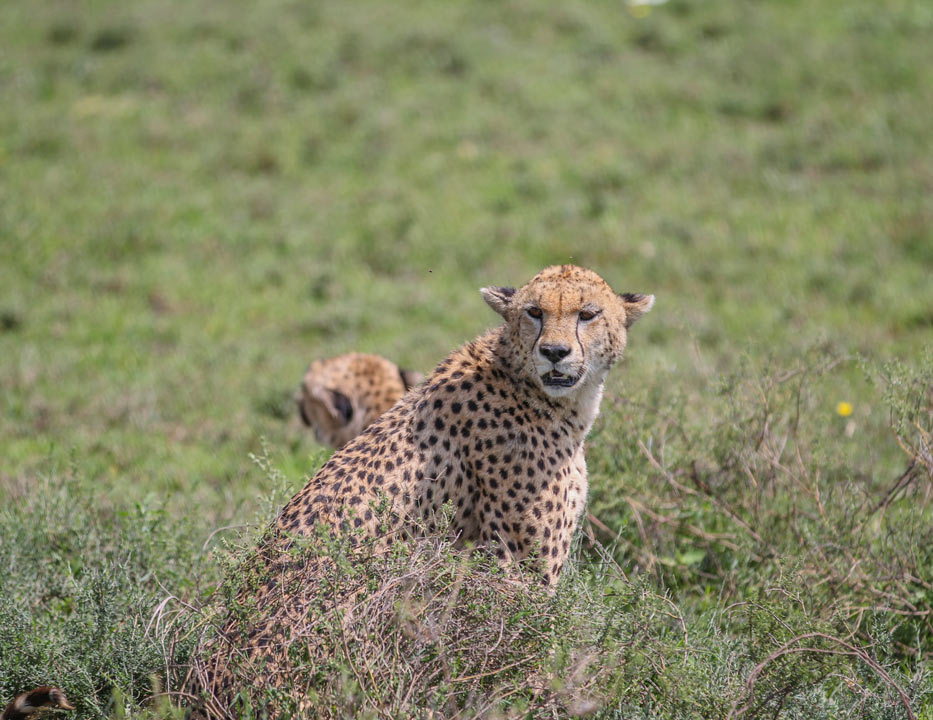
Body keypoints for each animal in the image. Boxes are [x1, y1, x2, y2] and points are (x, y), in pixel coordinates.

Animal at [197, 264, 648, 716]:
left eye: (587, 314)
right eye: (534, 312)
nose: (554, 352)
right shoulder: (520, 567)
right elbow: (533, 644)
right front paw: (544, 698)